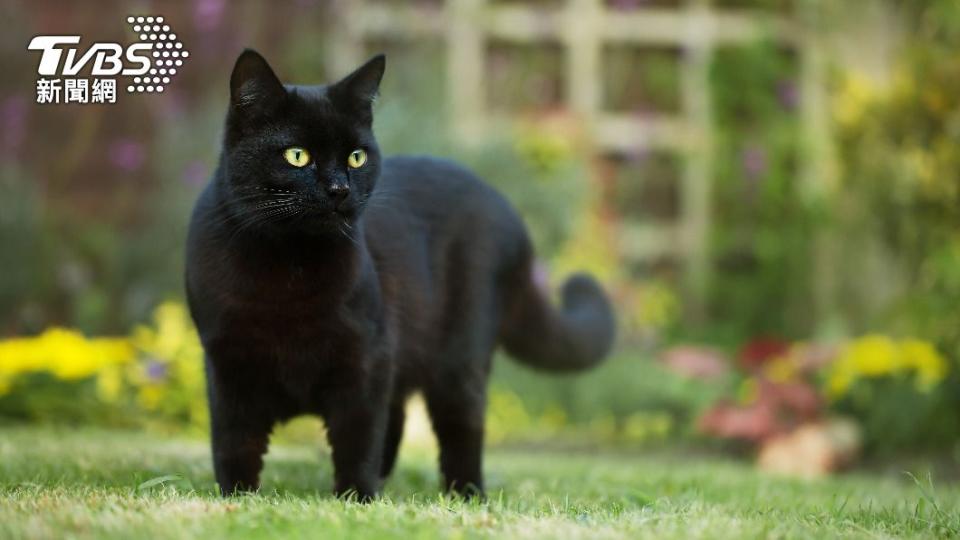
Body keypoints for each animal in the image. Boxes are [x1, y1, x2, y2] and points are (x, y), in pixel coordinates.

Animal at [185, 50, 620, 498]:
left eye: (356, 157)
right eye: (297, 156)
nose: (339, 188)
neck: (289, 270)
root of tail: (505, 207)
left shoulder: (365, 357)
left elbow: (358, 437)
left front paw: (356, 498)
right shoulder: (226, 363)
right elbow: (234, 441)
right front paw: (237, 497)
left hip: (459, 356)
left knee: (459, 425)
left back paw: (466, 494)